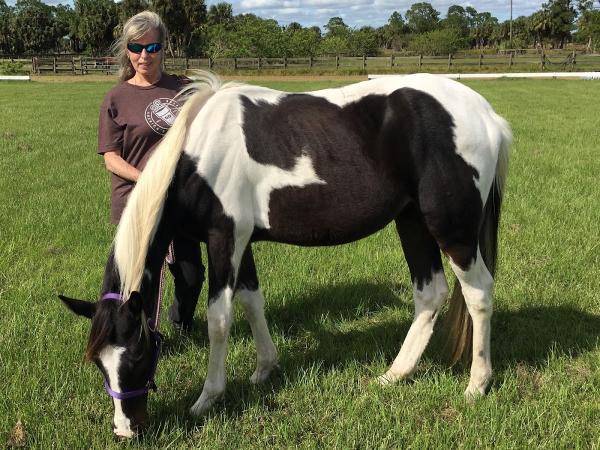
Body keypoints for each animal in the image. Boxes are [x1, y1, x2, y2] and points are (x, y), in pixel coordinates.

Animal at [59, 72, 510, 438]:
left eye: (137, 354)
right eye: (100, 363)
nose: (125, 430)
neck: (199, 153)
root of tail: (487, 114)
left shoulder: (225, 238)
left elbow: (219, 319)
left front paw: (208, 398)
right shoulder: (241, 243)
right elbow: (251, 301)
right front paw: (264, 369)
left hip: (452, 229)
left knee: (478, 295)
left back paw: (477, 384)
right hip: (412, 221)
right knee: (430, 294)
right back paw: (394, 375)